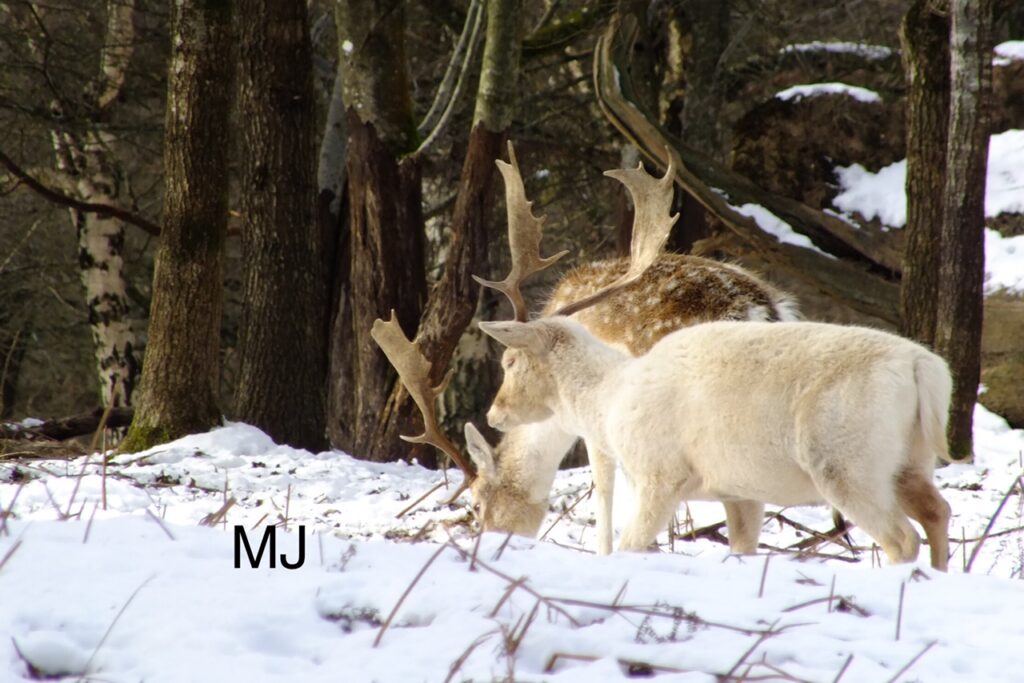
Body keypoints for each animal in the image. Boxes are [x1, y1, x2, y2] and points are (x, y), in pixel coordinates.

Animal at [475, 149, 953, 571]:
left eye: (479, 499)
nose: (493, 413)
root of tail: (926, 369)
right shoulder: (737, 489)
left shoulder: (646, 464)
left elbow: (608, 499)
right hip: (910, 461)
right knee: (938, 512)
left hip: (847, 463)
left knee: (901, 536)